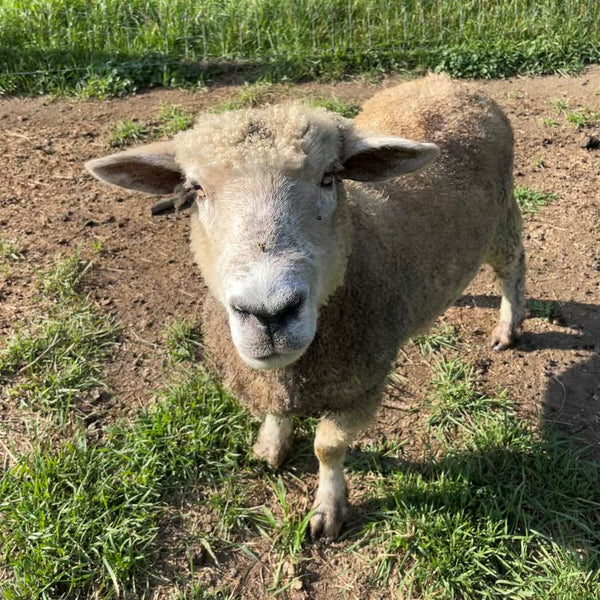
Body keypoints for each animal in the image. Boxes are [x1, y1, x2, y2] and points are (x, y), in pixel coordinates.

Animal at [84, 74, 524, 540]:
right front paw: (271, 445)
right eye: (196, 190)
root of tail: (446, 81)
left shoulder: (361, 386)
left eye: (329, 177)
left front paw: (328, 509)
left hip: (502, 217)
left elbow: (327, 447)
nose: (268, 313)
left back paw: (508, 326)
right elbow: (278, 414)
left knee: (515, 265)